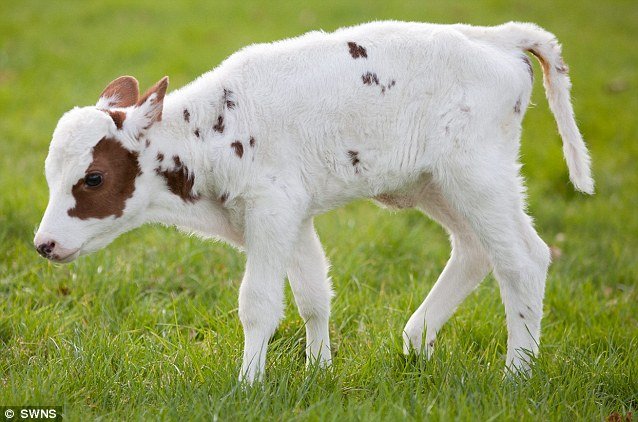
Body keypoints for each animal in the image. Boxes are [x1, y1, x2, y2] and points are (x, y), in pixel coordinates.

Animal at [33, 21, 596, 384]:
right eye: (51, 176)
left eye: (94, 177)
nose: (44, 244)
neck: (208, 134)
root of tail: (495, 36)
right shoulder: (293, 216)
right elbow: (312, 295)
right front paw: (319, 371)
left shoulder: (270, 208)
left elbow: (258, 303)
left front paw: (249, 384)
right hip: (434, 182)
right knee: (475, 250)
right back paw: (416, 345)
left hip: (477, 173)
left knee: (522, 259)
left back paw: (516, 375)